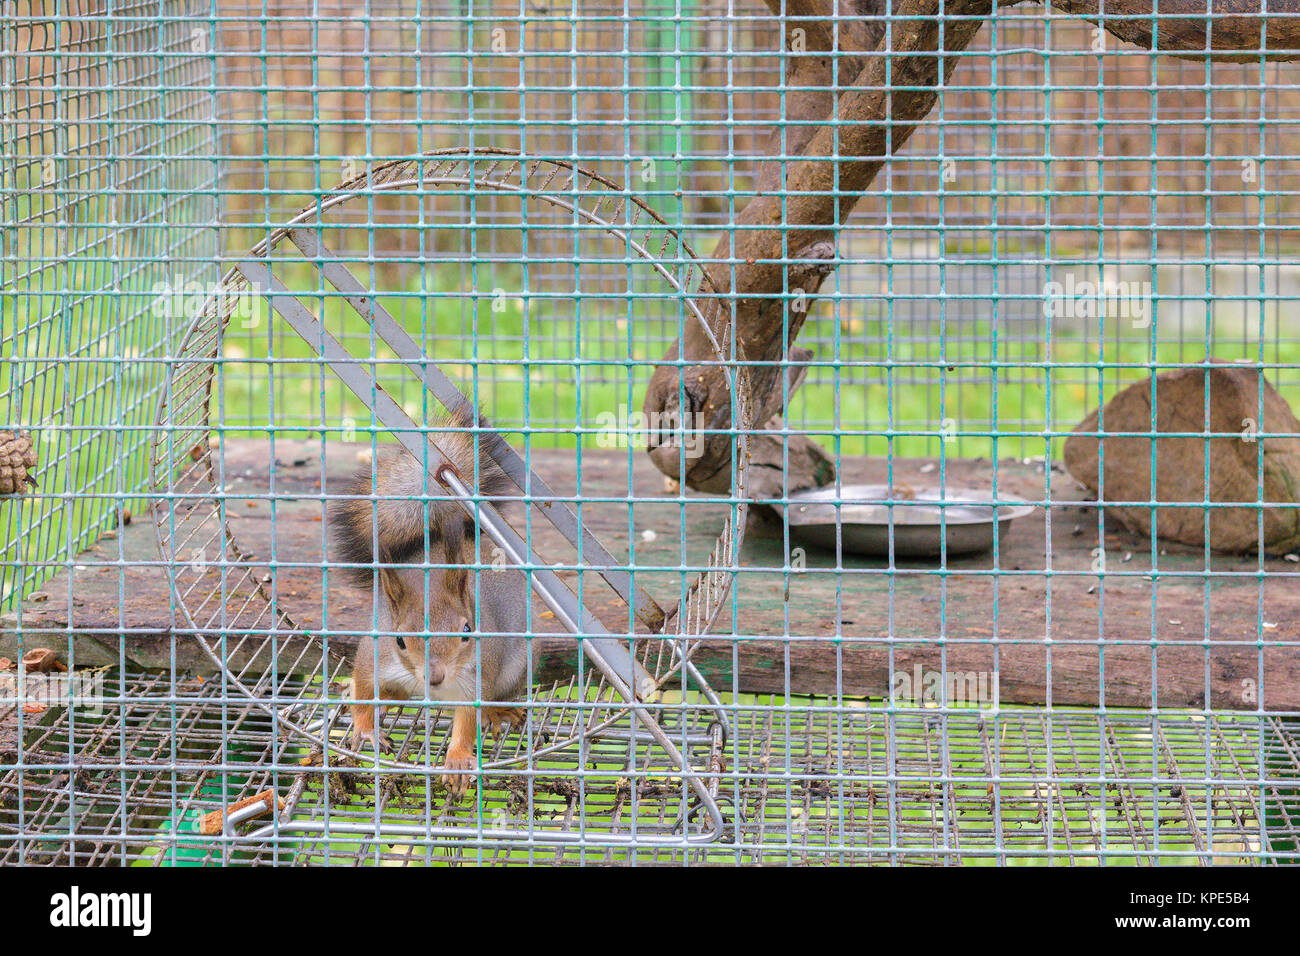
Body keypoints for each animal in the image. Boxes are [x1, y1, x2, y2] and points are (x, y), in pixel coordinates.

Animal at [331, 407, 530, 797]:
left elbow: (467, 720)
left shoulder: (474, 678)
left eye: (467, 630)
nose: (435, 676)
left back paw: (498, 712)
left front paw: (457, 760)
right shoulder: (374, 655)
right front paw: (366, 728)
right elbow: (363, 688)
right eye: (399, 639)